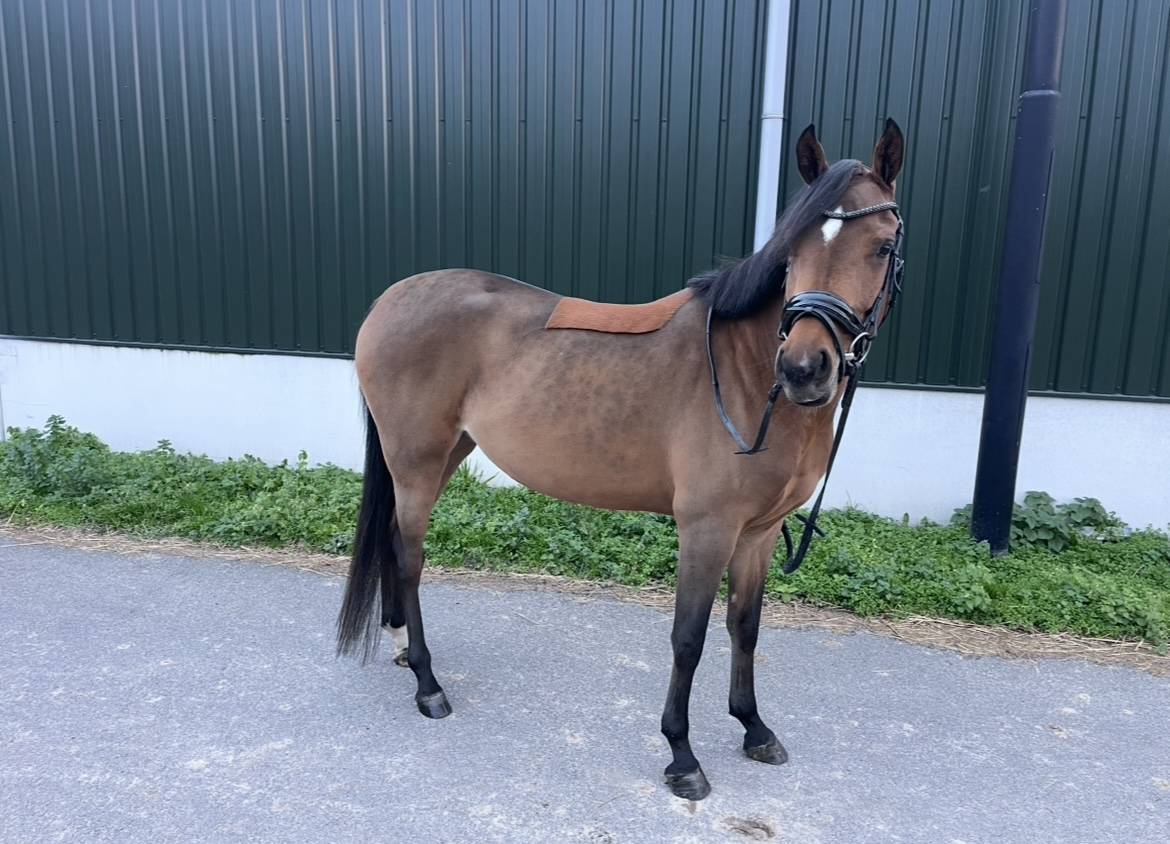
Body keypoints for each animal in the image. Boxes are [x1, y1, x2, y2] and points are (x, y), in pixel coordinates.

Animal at [338, 120, 906, 800]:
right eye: (791, 252)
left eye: (882, 247)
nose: (803, 368)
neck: (745, 373)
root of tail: (388, 301)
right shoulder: (707, 529)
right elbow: (688, 637)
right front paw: (682, 755)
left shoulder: (760, 533)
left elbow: (745, 626)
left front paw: (754, 727)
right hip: (417, 461)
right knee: (411, 557)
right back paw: (427, 684)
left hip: (447, 453)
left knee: (394, 543)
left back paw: (402, 645)